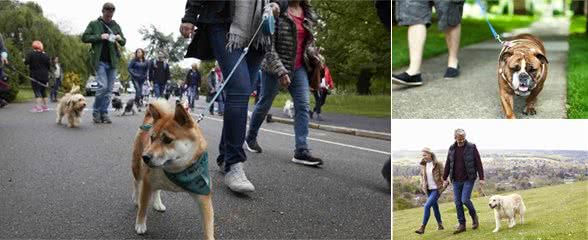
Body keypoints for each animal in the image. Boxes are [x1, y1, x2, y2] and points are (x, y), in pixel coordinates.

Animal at [131, 99, 214, 238]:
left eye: (167, 139)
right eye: (152, 138)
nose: (145, 157)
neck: (177, 171)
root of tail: (148, 119)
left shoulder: (203, 192)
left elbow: (209, 226)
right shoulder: (147, 182)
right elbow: (143, 208)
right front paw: (140, 224)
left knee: (157, 190)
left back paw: (158, 203)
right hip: (137, 168)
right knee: (136, 183)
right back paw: (136, 199)